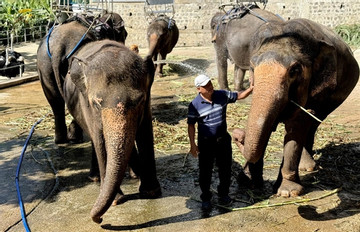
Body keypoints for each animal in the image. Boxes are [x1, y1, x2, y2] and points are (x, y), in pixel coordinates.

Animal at [37, 12, 127, 145]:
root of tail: (58, 47)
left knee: (55, 101)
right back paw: (75, 137)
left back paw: (60, 139)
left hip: (44, 65)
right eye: (125, 34)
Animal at [63, 40, 160, 223]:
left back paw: (135, 175)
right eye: (96, 103)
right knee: (94, 142)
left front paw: (151, 192)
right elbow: (100, 141)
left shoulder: (147, 101)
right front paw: (117, 200)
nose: (99, 220)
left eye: (139, 101)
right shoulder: (87, 107)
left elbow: (145, 133)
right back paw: (96, 178)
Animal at [240, 18, 358, 197]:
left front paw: (288, 193)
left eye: (294, 70)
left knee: (313, 123)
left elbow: (297, 127)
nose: (238, 135)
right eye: (252, 67)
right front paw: (250, 182)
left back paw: (307, 167)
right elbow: (266, 127)